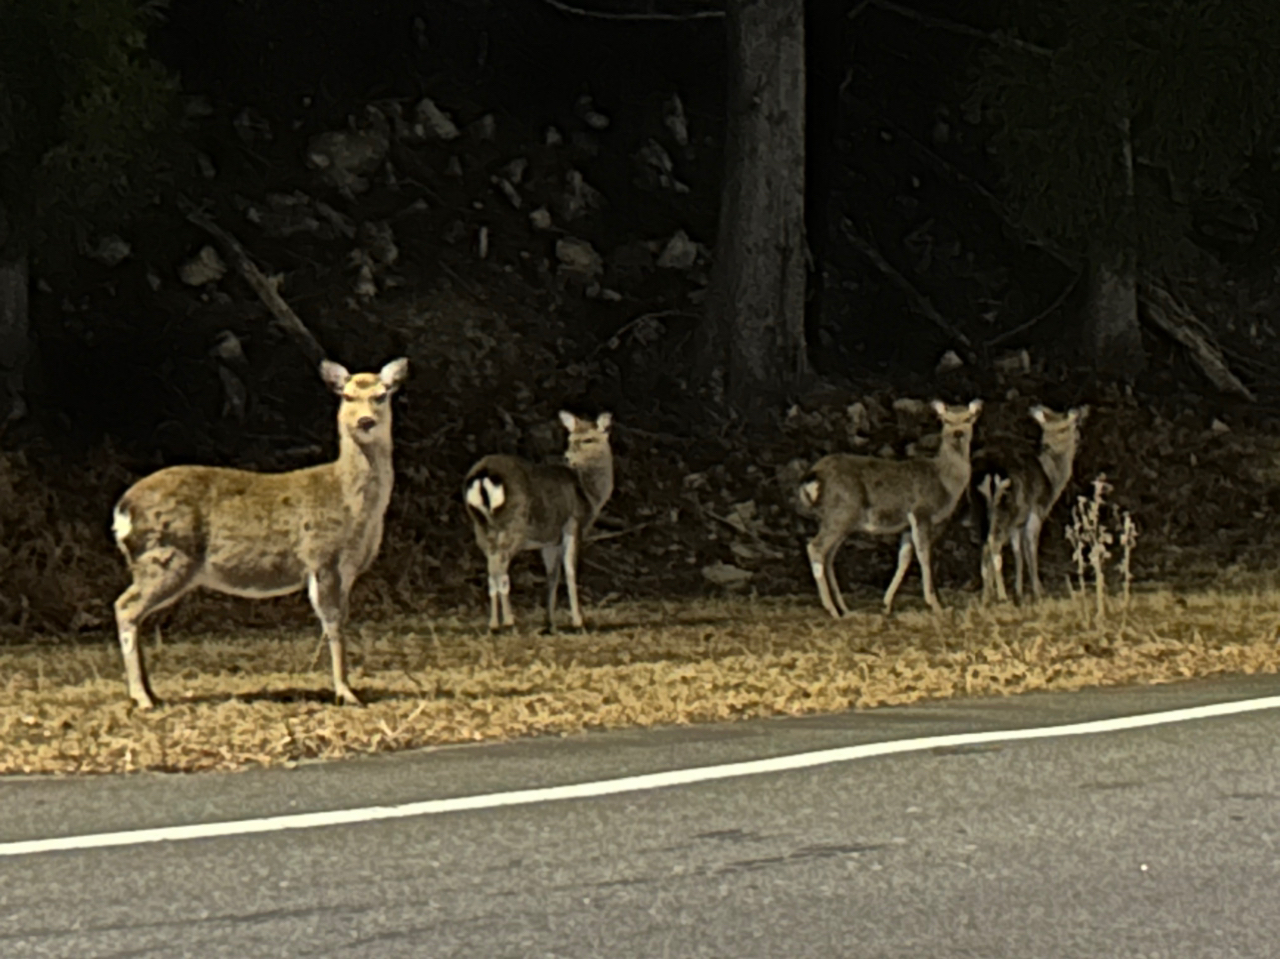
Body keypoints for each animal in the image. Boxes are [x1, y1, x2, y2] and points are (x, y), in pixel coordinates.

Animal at [112, 355, 409, 706]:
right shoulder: (320, 556)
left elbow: (342, 620)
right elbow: (333, 623)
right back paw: (142, 697)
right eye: (347, 396)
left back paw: (152, 693)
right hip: (165, 556)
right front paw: (346, 692)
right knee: (125, 607)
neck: (352, 507)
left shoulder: (349, 569)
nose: (365, 421)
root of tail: (123, 509)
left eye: (382, 394)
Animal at [465, 409, 614, 627]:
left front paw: (549, 620)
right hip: (513, 524)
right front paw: (578, 620)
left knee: (492, 571)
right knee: (501, 571)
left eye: (588, 439)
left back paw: (493, 623)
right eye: (570, 439)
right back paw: (508, 620)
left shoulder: (550, 539)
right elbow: (570, 571)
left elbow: (552, 575)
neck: (589, 495)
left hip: (482, 527)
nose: (567, 457)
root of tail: (483, 477)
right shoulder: (573, 524)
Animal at [798, 399, 977, 617]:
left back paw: (845, 608)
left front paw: (887, 603)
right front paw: (937, 605)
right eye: (945, 419)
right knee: (815, 547)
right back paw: (832, 610)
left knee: (829, 555)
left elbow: (904, 558)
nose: (958, 433)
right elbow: (923, 555)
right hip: (840, 513)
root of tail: (812, 477)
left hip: (840, 519)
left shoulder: (907, 526)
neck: (945, 482)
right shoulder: (921, 511)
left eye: (969, 418)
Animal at [972, 402, 1085, 599]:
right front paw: (1039, 590)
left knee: (985, 545)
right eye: (1071, 425)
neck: (1051, 480)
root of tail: (989, 475)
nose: (1079, 439)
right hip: (1005, 507)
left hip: (982, 509)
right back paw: (1000, 595)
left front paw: (1019, 589)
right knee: (994, 544)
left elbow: (1018, 552)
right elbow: (1031, 547)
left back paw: (988, 593)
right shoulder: (1036, 510)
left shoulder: (1018, 522)